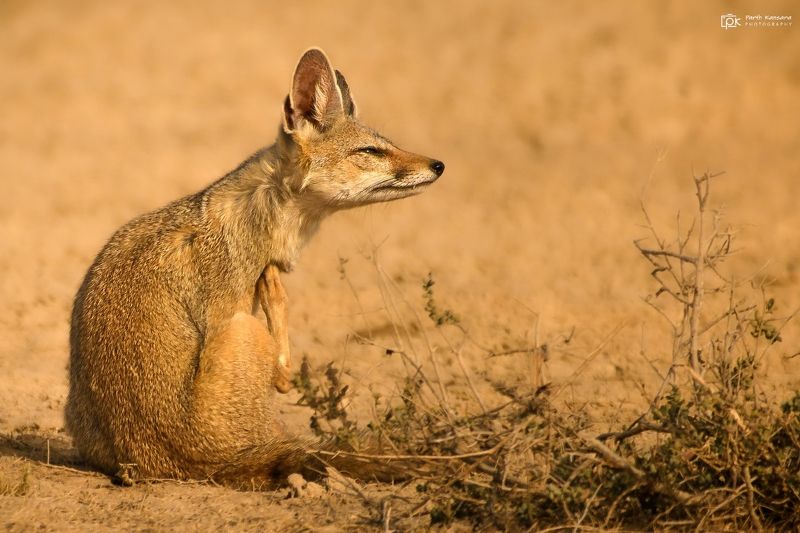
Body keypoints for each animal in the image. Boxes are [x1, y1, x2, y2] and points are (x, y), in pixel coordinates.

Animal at [65, 48, 444, 487]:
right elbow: (283, 375)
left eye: (389, 144)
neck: (258, 209)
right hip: (246, 328)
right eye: (370, 151)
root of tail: (196, 464)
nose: (438, 165)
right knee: (282, 373)